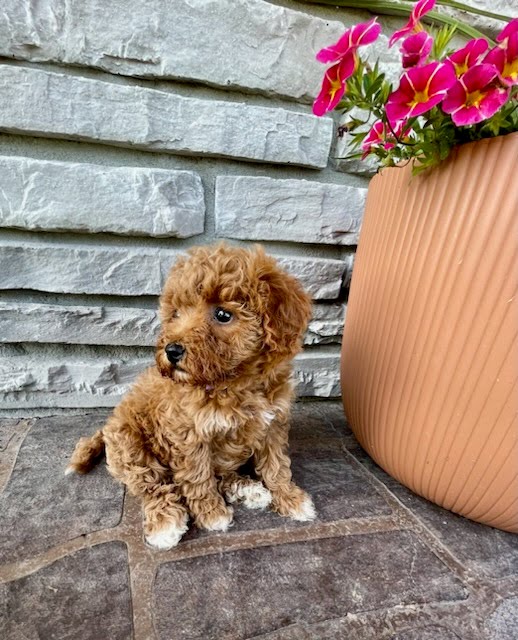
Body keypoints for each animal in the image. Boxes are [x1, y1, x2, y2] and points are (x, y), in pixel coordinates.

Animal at [67, 243, 316, 549]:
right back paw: (166, 522)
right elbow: (198, 477)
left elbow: (276, 466)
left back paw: (247, 489)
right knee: (155, 485)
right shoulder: (189, 435)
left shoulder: (273, 424)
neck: (236, 380)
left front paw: (290, 498)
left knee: (219, 474)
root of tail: (106, 430)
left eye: (223, 315)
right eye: (175, 314)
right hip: (131, 449)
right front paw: (211, 513)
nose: (171, 351)